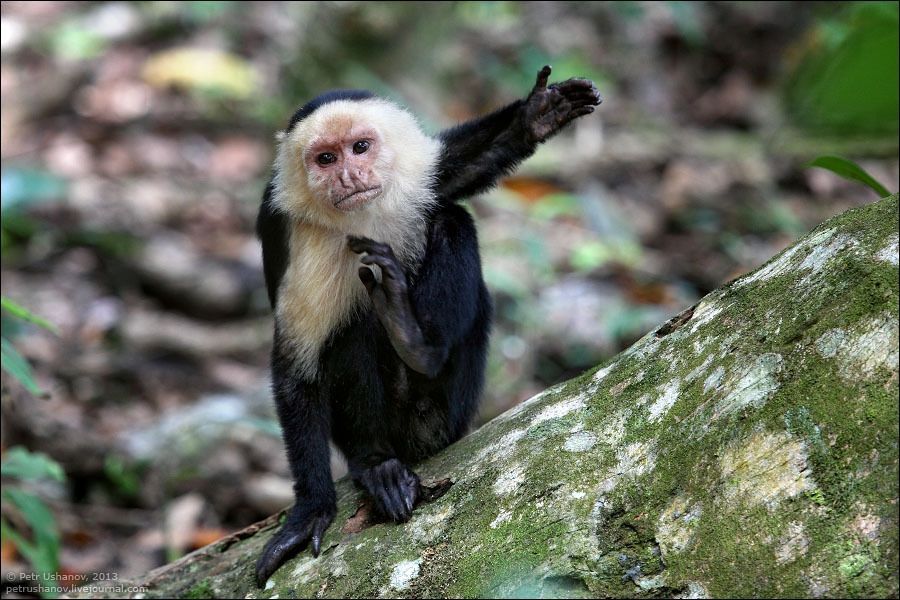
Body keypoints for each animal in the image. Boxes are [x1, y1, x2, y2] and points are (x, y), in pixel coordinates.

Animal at [256, 67, 600, 584]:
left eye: (360, 148)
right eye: (325, 158)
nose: (349, 175)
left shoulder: (414, 176)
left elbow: (448, 176)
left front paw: (536, 114)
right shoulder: (300, 236)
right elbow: (297, 370)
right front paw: (311, 511)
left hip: (449, 413)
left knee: (450, 219)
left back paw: (415, 340)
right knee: (352, 329)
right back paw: (377, 463)